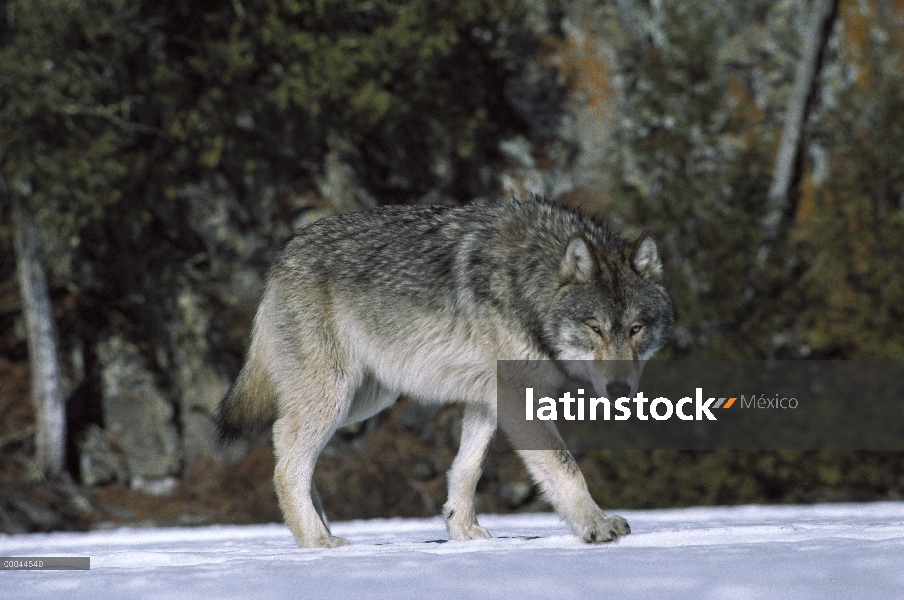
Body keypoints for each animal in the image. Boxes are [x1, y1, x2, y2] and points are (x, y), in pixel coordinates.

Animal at [217, 197, 672, 548]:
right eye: (595, 327)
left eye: (635, 328)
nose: (620, 388)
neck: (529, 282)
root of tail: (283, 255)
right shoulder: (518, 395)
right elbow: (564, 468)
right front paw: (596, 525)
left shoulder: (489, 397)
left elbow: (467, 470)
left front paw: (463, 532)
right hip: (335, 396)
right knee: (286, 465)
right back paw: (317, 541)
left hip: (361, 401)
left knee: (285, 443)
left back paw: (318, 530)